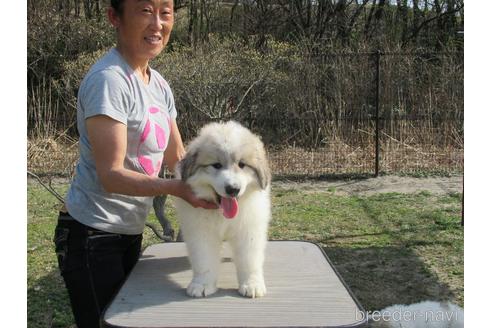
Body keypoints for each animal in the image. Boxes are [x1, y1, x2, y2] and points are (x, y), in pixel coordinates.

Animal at [174, 120, 272, 298]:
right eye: (216, 165)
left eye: (242, 165)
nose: (232, 189)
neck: (222, 214)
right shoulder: (201, 232)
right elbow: (204, 259)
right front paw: (202, 284)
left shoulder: (248, 229)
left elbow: (249, 259)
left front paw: (252, 284)